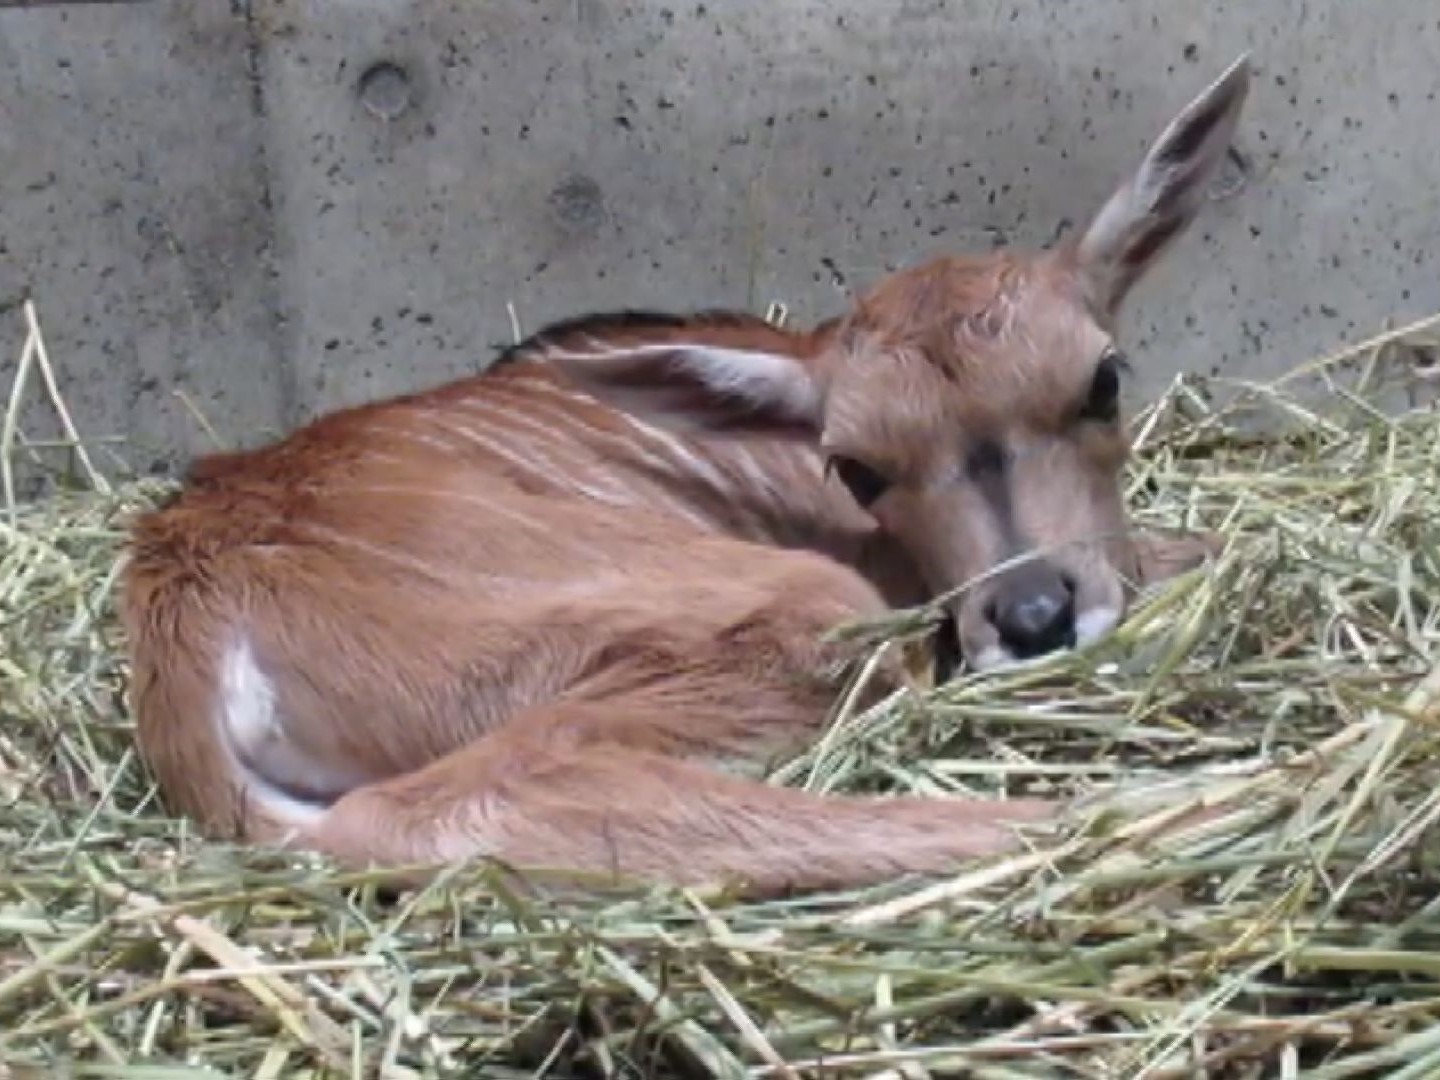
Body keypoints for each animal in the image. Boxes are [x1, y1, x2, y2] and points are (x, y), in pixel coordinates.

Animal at [120, 59, 1249, 898]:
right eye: (856, 467)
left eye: (1102, 380)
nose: (1031, 617)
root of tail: (197, 630)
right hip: (782, 620)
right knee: (455, 799)